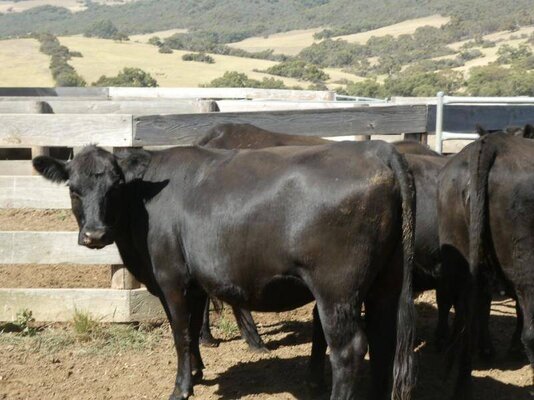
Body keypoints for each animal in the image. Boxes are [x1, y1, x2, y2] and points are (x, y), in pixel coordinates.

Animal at [32, 143, 418, 400]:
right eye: (73, 189)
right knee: (383, 340)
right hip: (385, 283)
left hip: (336, 290)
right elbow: (190, 328)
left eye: (114, 187)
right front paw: (197, 370)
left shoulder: (171, 279)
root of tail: (377, 150)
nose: (95, 235)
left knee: (349, 349)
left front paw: (181, 388)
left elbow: (180, 333)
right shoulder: (194, 283)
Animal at [440, 133, 534, 398]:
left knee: (467, 316)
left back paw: (462, 387)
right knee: (531, 331)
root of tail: (491, 141)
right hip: (524, 258)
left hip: (460, 256)